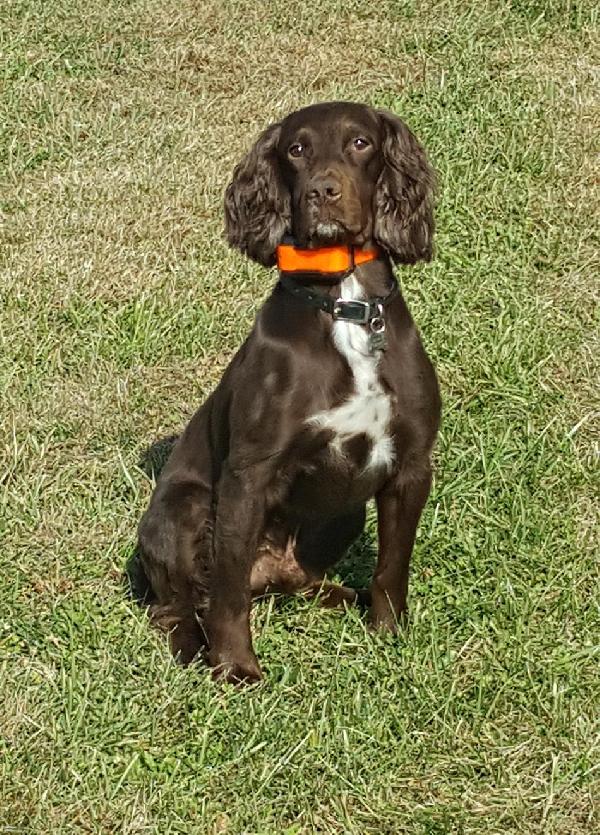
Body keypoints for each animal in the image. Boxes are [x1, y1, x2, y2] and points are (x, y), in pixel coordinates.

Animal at [138, 101, 442, 684]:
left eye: (361, 143)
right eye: (296, 149)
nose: (323, 191)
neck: (344, 305)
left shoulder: (411, 464)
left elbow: (393, 565)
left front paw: (388, 635)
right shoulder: (248, 475)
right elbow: (229, 591)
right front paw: (235, 667)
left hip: (345, 512)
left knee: (293, 581)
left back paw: (345, 598)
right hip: (184, 507)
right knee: (181, 605)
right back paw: (192, 649)